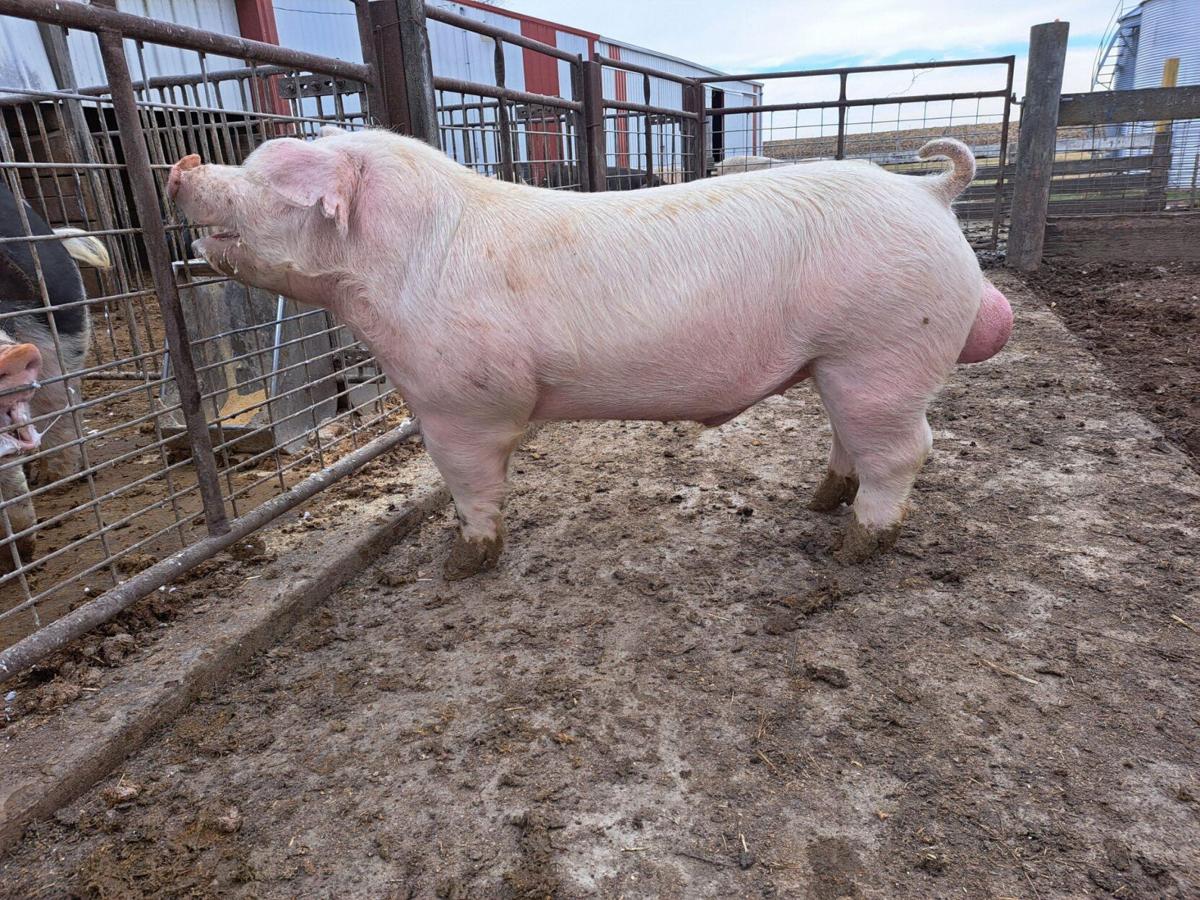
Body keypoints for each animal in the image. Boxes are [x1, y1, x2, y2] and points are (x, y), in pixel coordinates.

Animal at [168, 128, 1012, 579]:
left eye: (271, 174)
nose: (181, 165)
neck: (391, 273)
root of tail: (931, 192)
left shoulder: (458, 401)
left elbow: (468, 484)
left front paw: (459, 564)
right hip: (843, 363)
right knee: (854, 439)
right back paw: (819, 502)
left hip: (885, 348)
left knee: (907, 450)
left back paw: (852, 548)